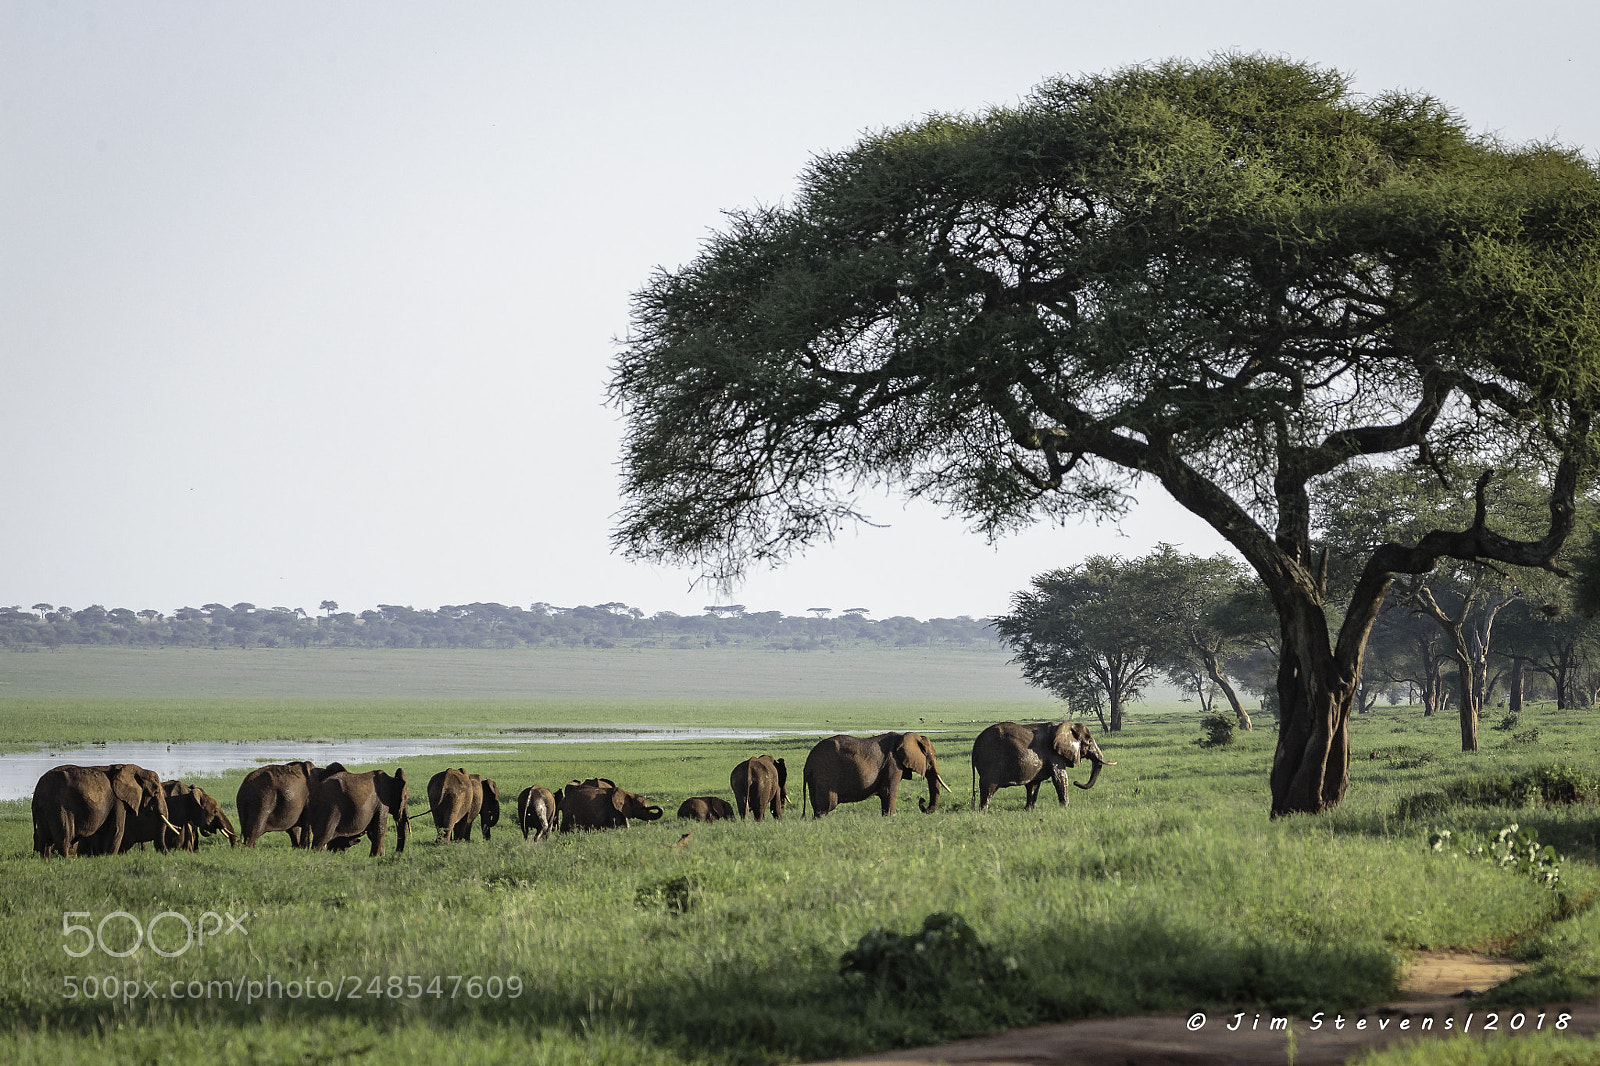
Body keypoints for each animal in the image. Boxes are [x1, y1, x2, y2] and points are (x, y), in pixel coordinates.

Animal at [31, 764, 177, 858]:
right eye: (156, 792)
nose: (170, 855)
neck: (138, 769)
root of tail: (38, 790)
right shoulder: (118, 800)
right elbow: (116, 829)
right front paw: (110, 858)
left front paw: (102, 857)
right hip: (59, 806)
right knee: (64, 835)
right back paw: (67, 860)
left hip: (44, 808)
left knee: (43, 838)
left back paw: (45, 860)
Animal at [802, 732, 951, 817]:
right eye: (932, 755)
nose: (922, 801)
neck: (904, 736)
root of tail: (808, 763)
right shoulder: (893, 763)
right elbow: (888, 791)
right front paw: (890, 818)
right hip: (824, 774)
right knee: (826, 806)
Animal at [971, 720, 1113, 811]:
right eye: (1089, 741)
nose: (1076, 782)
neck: (1064, 727)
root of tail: (975, 744)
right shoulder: (1053, 753)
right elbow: (1060, 777)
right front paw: (1066, 807)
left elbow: (1034, 785)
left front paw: (1029, 810)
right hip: (990, 761)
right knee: (988, 788)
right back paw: (983, 812)